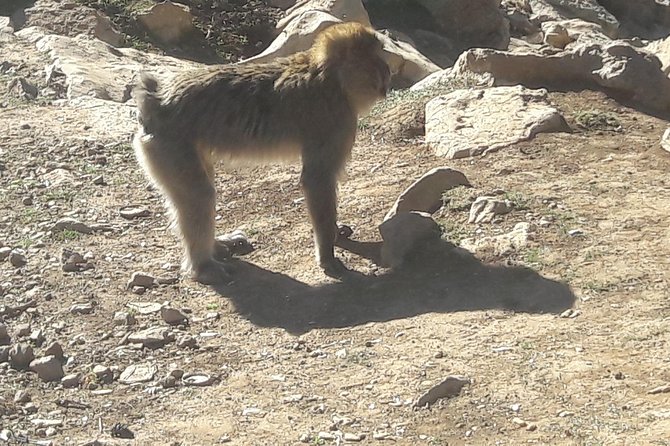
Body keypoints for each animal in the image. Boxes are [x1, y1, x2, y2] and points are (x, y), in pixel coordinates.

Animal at [132, 22, 391, 285]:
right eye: (375, 57)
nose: (388, 71)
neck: (330, 77)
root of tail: (155, 99)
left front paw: (336, 233)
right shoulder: (333, 121)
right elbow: (316, 179)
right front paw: (328, 253)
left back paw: (216, 246)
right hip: (170, 146)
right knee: (199, 194)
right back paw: (203, 266)